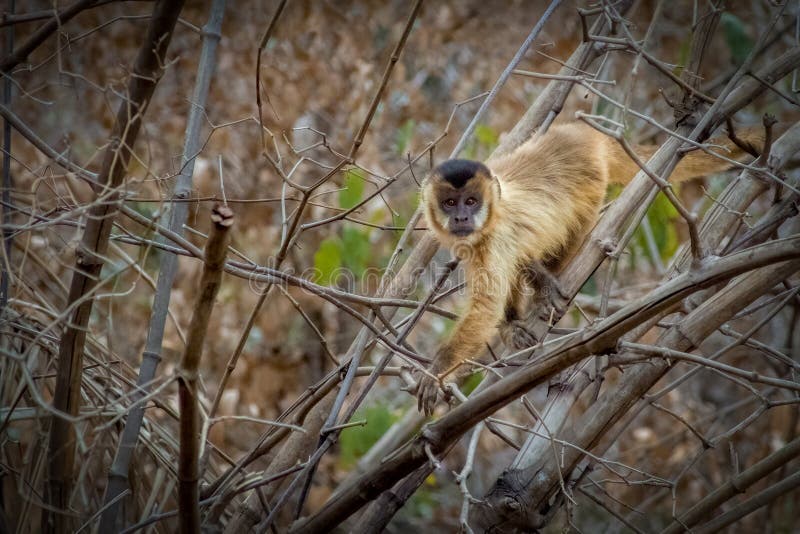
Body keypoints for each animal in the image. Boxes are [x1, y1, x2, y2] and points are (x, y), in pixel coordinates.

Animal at [418, 121, 764, 418]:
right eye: (450, 203)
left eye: (471, 201)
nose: (462, 217)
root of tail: (584, 134)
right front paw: (511, 324)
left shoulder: (494, 236)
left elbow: (488, 304)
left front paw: (436, 371)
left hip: (591, 179)